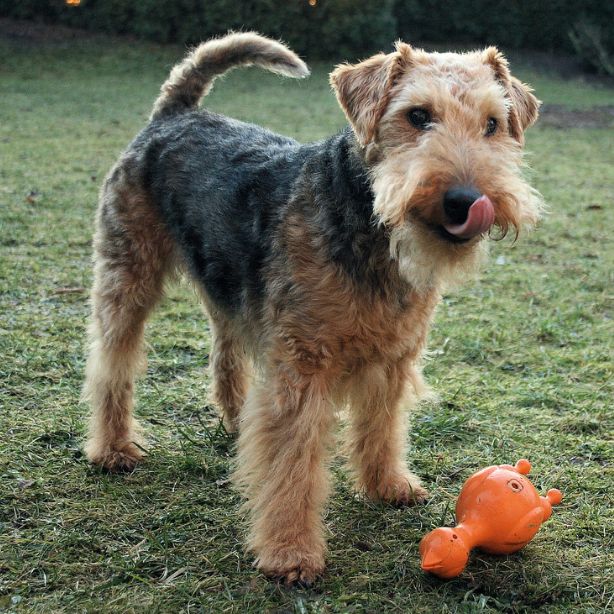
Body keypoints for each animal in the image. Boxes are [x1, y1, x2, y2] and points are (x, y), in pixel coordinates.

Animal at [83, 33, 544, 588]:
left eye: (493, 124)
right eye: (417, 115)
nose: (465, 199)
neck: (372, 229)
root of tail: (175, 113)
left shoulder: (394, 357)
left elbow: (382, 428)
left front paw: (387, 485)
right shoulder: (303, 367)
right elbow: (293, 466)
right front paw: (291, 553)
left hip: (229, 287)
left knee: (225, 351)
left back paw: (235, 419)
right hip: (128, 275)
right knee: (113, 361)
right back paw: (113, 449)